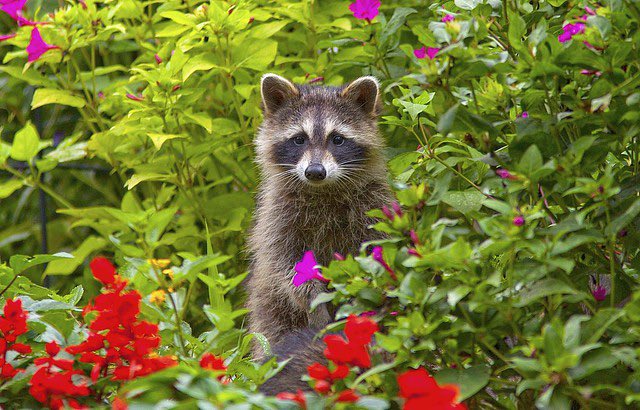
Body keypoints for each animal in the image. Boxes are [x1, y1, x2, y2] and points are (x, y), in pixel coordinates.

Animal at [247, 74, 392, 392]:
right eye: (299, 139)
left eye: (337, 139)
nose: (315, 171)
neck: (322, 190)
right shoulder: (277, 216)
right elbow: (286, 264)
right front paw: (314, 301)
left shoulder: (373, 207)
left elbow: (377, 254)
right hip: (271, 310)